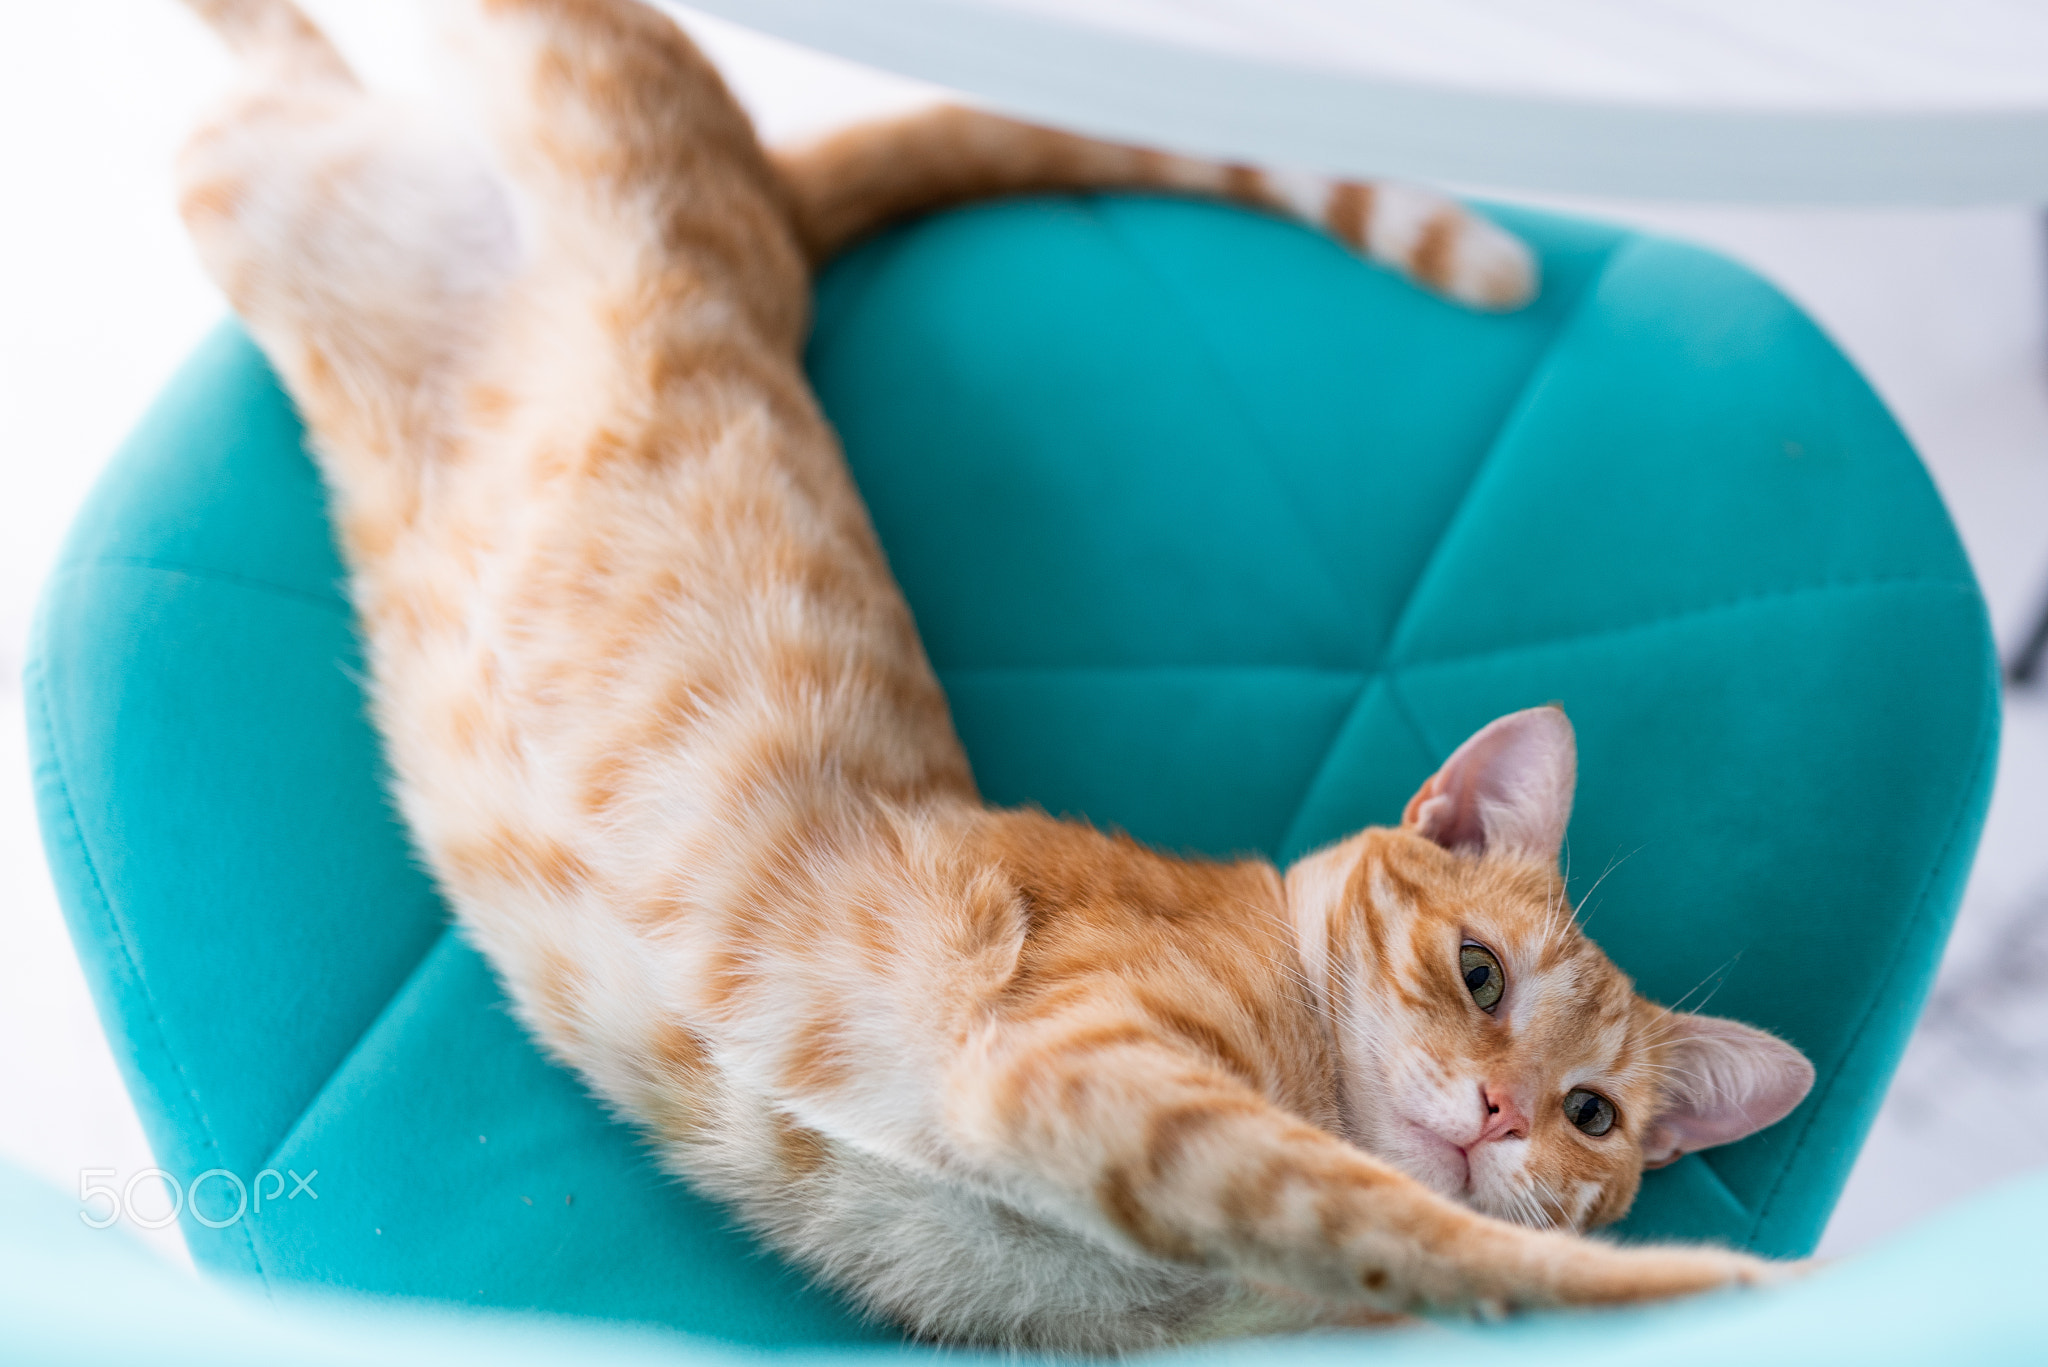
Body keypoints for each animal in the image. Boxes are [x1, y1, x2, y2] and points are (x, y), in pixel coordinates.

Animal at [172, 0, 1810, 1344]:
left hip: (260, 188)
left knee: (250, 79)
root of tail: (773, 212)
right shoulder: (1078, 1072)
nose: (1500, 1109)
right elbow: (1407, 1221)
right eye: (1478, 973)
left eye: (1590, 1111)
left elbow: (1408, 1241)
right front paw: (1724, 1284)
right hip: (527, 66)